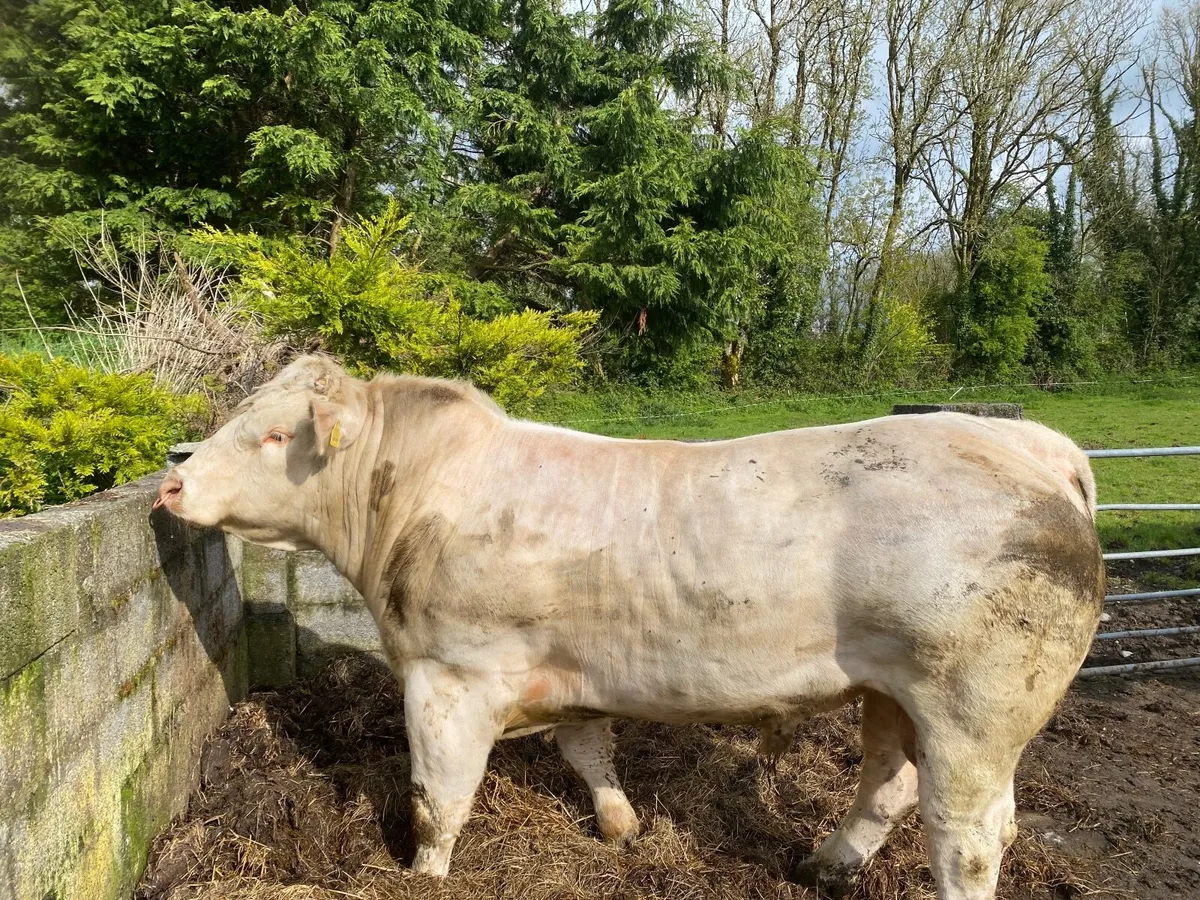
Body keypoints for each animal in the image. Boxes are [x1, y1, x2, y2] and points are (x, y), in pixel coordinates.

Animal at [156, 355, 1104, 900]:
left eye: (274, 435)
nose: (170, 484)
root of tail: (1034, 446)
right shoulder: (573, 671)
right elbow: (588, 750)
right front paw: (621, 827)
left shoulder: (448, 674)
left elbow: (437, 800)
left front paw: (422, 876)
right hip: (893, 694)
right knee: (887, 786)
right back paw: (823, 865)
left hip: (976, 711)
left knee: (969, 837)